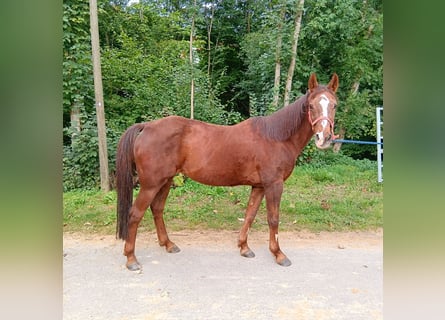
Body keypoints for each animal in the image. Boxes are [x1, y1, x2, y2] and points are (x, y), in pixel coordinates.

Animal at [116, 73, 338, 270]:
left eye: (334, 105)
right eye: (311, 106)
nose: (324, 138)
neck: (276, 137)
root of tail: (147, 127)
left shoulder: (259, 186)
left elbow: (249, 215)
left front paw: (244, 247)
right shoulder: (274, 184)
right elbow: (273, 219)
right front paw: (279, 254)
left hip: (166, 180)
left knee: (157, 209)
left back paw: (169, 244)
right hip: (151, 184)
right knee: (135, 214)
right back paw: (131, 259)